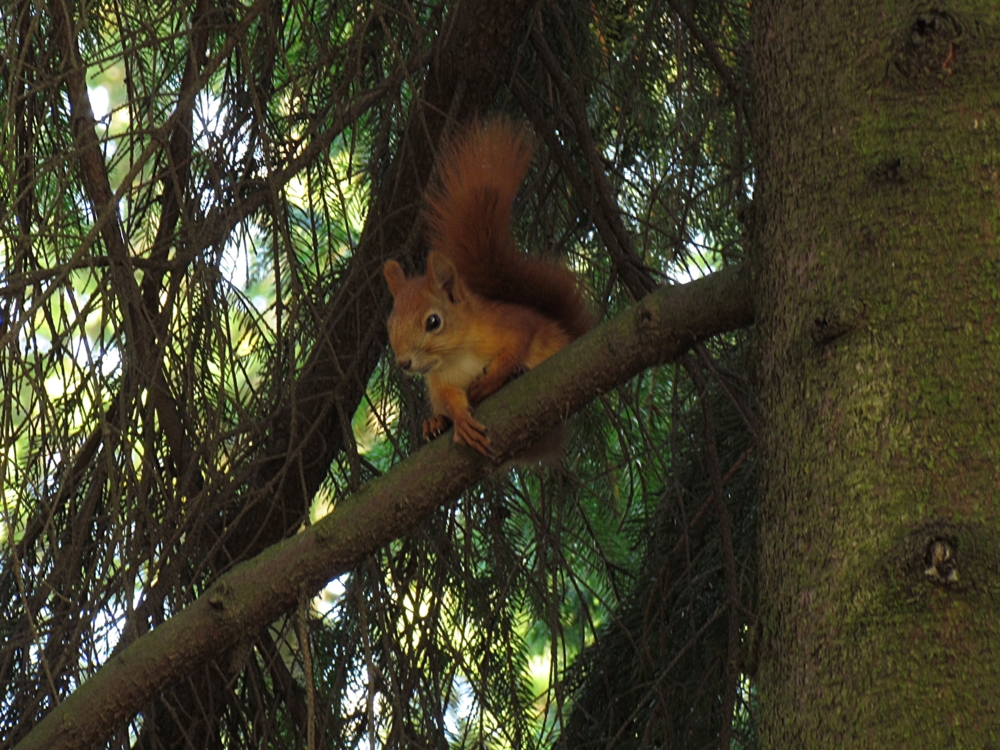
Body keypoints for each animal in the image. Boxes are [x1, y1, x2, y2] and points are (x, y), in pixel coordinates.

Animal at [380, 120, 584, 456]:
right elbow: (449, 399)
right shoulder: (439, 382)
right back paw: (434, 424)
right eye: (390, 325)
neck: (457, 355)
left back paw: (515, 376)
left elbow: (518, 341)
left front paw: (494, 378)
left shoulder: (511, 322)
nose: (404, 362)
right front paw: (459, 419)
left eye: (433, 321)